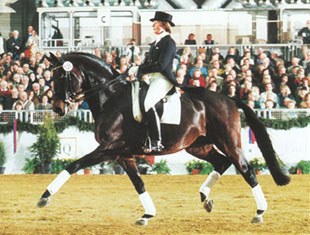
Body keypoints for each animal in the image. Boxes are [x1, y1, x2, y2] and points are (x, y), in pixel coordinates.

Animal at [37, 52, 290, 225]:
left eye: (62, 75)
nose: (58, 108)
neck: (111, 98)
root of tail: (229, 99)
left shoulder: (109, 148)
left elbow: (73, 165)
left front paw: (45, 197)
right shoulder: (122, 154)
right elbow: (138, 183)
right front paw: (147, 215)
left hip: (229, 142)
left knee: (246, 170)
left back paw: (259, 212)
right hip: (197, 146)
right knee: (222, 162)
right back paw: (205, 198)